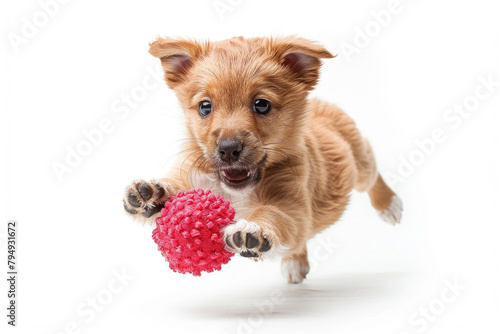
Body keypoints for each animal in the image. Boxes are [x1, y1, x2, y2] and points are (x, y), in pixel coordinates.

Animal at [124, 36, 402, 284]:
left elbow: (273, 215)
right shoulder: (193, 176)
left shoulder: (291, 206)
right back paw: (295, 262)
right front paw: (151, 193)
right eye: (205, 106)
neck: (236, 192)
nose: (228, 149)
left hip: (359, 163)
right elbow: (175, 187)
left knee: (371, 169)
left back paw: (389, 205)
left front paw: (253, 229)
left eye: (261, 104)